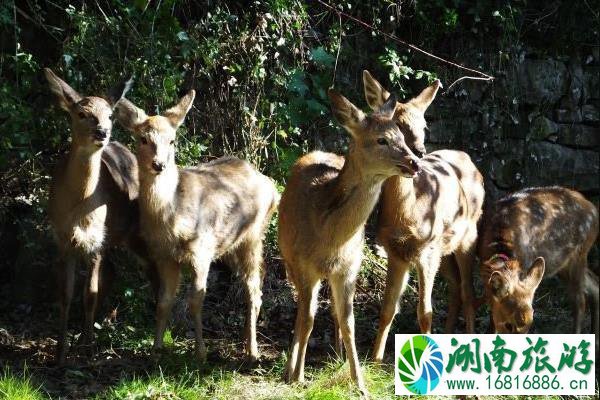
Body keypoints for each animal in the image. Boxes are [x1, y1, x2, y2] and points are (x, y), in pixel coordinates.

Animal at [44, 69, 158, 366]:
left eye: (109, 115)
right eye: (81, 113)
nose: (102, 132)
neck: (79, 205)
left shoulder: (95, 240)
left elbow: (89, 294)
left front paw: (88, 350)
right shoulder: (63, 240)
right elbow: (66, 294)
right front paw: (61, 352)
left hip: (134, 234)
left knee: (155, 272)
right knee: (113, 273)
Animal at [115, 90, 278, 362]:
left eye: (172, 141)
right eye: (143, 139)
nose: (159, 165)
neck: (172, 220)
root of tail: (273, 187)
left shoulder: (201, 250)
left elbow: (195, 301)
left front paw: (200, 353)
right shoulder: (164, 256)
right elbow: (163, 301)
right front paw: (156, 349)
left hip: (253, 236)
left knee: (254, 289)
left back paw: (253, 351)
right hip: (230, 246)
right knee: (256, 281)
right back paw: (245, 340)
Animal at [276, 86, 422, 396]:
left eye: (401, 136)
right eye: (381, 140)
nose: (414, 163)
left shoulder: (349, 268)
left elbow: (349, 321)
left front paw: (360, 383)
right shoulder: (305, 266)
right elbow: (307, 319)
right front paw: (297, 376)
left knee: (330, 311)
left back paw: (338, 356)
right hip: (288, 260)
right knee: (302, 310)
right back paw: (291, 368)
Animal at [358, 71, 486, 362]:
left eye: (425, 126)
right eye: (396, 124)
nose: (419, 151)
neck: (408, 212)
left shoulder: (427, 249)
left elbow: (425, 312)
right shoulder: (395, 251)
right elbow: (387, 308)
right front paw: (375, 359)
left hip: (468, 236)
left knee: (468, 291)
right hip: (445, 249)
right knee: (455, 289)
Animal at [480, 186, 596, 348]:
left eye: (529, 326)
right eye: (508, 325)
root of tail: (593, 209)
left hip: (579, 254)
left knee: (580, 301)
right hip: (560, 264)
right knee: (594, 287)